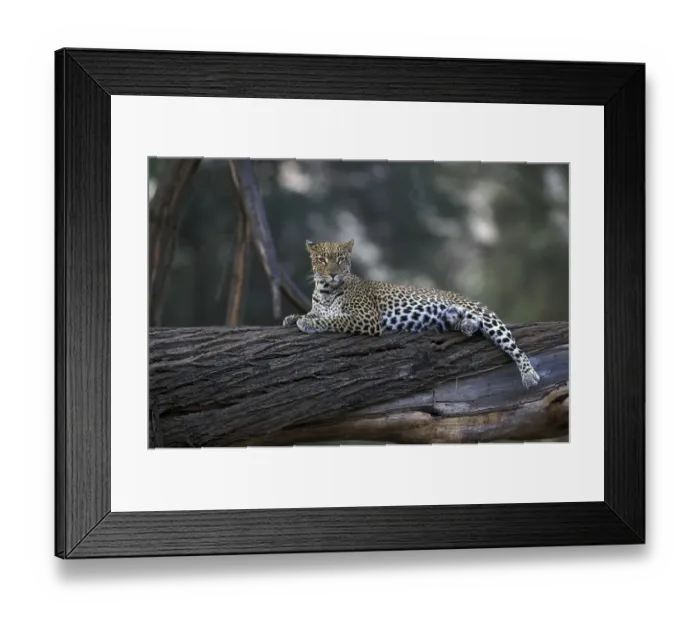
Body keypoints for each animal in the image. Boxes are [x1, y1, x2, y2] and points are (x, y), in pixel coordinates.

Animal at [282, 239, 540, 389]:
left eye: (341, 260)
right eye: (322, 260)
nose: (333, 274)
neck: (325, 290)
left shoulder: (366, 318)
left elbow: (334, 318)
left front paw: (308, 322)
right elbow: (315, 313)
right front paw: (292, 318)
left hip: (486, 316)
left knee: (513, 346)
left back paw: (529, 376)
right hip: (450, 318)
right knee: (467, 324)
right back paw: (467, 326)